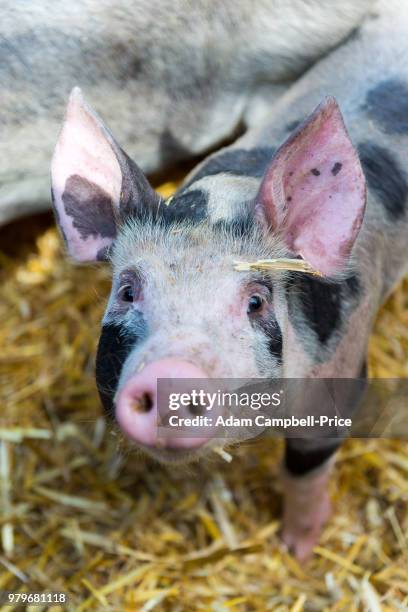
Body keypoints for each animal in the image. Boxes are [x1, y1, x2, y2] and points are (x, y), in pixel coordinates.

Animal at [51, 0, 408, 560]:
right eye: (128, 290)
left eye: (257, 302)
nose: (170, 375)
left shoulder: (342, 375)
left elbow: (305, 471)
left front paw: (298, 550)